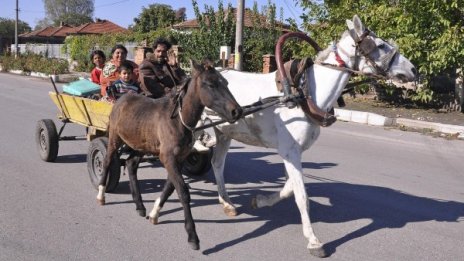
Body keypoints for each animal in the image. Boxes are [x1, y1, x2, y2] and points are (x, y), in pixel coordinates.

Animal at [207, 14, 416, 256]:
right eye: (381, 45)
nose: (414, 70)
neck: (303, 94)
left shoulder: (294, 153)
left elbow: (290, 188)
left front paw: (260, 201)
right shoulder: (289, 152)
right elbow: (301, 195)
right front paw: (313, 240)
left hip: (224, 133)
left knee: (217, 163)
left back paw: (227, 203)